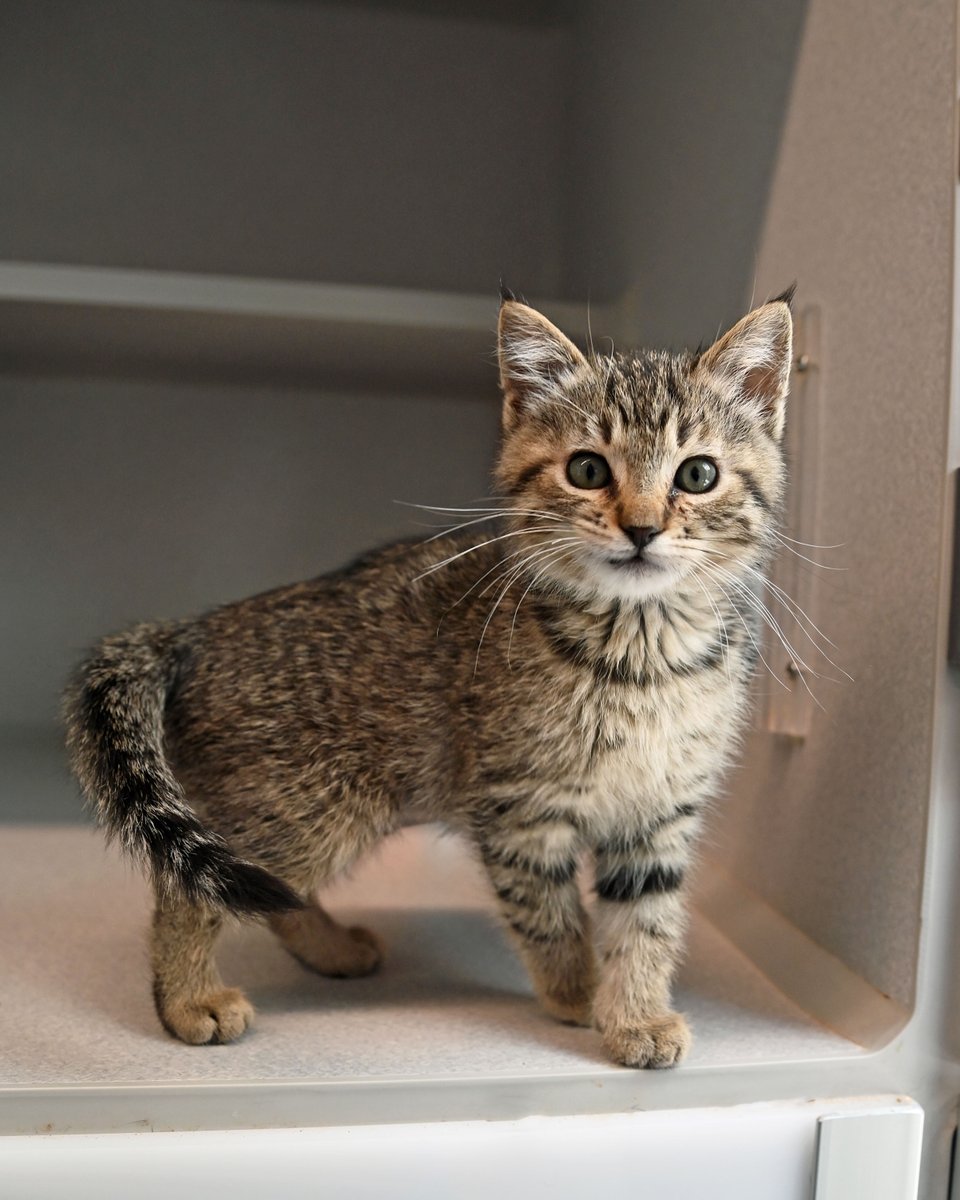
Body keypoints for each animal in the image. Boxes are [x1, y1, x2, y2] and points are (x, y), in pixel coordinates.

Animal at [63, 290, 792, 1070]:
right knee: (192, 891)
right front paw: (578, 993)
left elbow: (647, 922)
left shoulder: (658, 815)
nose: (643, 528)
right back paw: (188, 999)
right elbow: (551, 916)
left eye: (698, 475)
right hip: (301, 812)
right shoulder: (519, 810)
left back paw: (332, 950)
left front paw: (635, 1015)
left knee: (271, 899)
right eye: (589, 471)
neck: (643, 653)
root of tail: (195, 628)